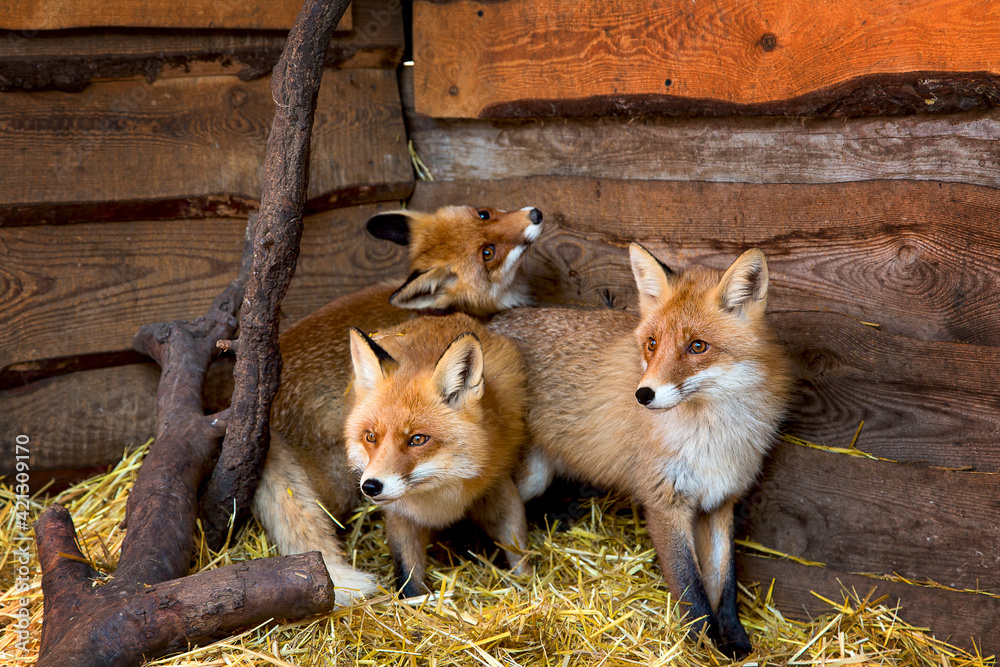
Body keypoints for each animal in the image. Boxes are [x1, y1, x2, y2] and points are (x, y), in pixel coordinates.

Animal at [344, 314, 530, 597]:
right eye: (371, 437)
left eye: (418, 439)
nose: (371, 486)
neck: (440, 499)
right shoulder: (401, 517)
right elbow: (407, 575)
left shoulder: (499, 487)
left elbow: (518, 550)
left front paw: (528, 586)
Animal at [488, 244, 792, 657]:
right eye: (651, 343)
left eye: (697, 346)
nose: (643, 394)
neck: (711, 437)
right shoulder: (665, 503)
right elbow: (692, 591)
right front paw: (699, 649)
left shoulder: (719, 502)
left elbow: (724, 585)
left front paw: (735, 643)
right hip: (523, 478)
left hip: (538, 475)